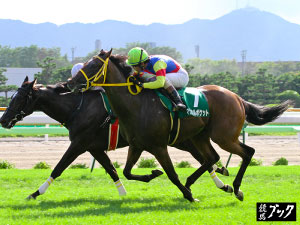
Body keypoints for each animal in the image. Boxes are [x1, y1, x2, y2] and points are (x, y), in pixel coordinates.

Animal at [0, 77, 232, 199]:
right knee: (206, 158)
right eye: (12, 97)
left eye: (19, 98)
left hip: (180, 140)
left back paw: (220, 181)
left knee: (206, 158)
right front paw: (124, 193)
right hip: (181, 140)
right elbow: (112, 170)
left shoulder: (79, 143)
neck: (77, 107)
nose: (4, 119)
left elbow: (58, 168)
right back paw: (222, 182)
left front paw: (35, 193)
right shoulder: (94, 147)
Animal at [67, 49, 292, 202]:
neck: (137, 105)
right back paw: (202, 183)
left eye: (92, 66)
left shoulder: (159, 146)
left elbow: (172, 175)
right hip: (200, 136)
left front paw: (190, 196)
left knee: (247, 152)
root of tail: (236, 97)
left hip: (224, 136)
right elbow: (127, 172)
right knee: (212, 158)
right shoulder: (137, 145)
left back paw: (235, 188)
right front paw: (153, 174)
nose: (70, 82)